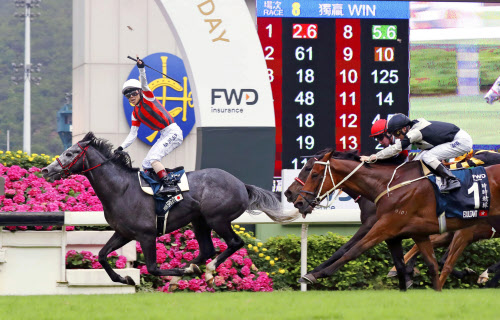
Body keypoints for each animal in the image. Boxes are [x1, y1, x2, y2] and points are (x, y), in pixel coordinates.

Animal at [292, 149, 500, 290]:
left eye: (312, 172)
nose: (296, 199)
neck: (386, 184)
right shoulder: (405, 232)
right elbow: (424, 261)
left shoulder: (381, 226)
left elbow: (350, 250)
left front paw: (314, 274)